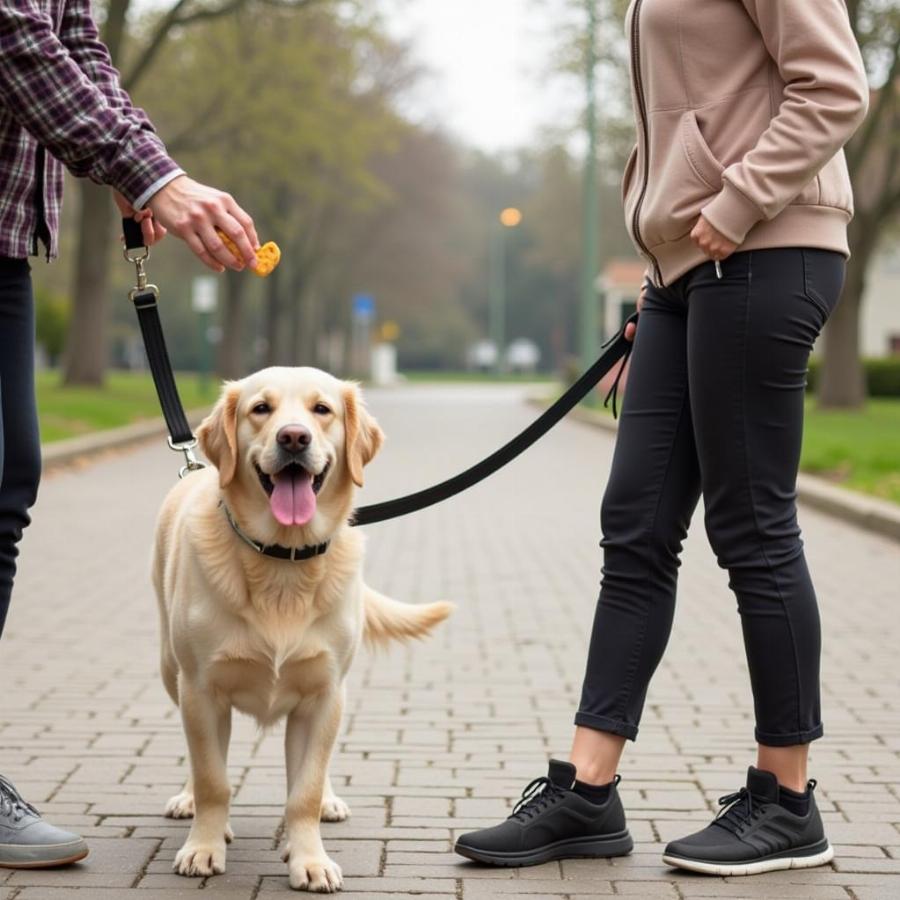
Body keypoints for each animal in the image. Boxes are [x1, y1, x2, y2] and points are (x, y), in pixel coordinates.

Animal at [153, 368, 458, 892]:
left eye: (322, 410)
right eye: (261, 409)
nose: (293, 437)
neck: (282, 561)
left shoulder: (323, 694)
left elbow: (305, 791)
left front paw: (309, 860)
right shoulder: (202, 690)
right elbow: (214, 777)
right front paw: (203, 847)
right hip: (171, 671)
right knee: (201, 755)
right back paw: (190, 802)